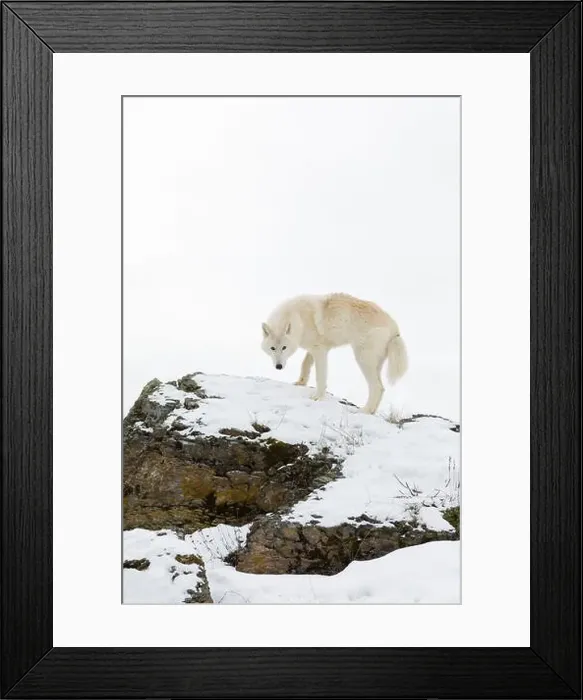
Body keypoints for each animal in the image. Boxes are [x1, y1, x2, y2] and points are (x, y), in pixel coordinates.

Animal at [261, 293, 408, 414]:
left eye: (284, 348)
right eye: (272, 348)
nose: (278, 367)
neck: (298, 318)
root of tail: (395, 328)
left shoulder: (320, 351)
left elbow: (320, 377)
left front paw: (317, 397)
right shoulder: (315, 349)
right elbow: (305, 364)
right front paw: (301, 382)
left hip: (362, 359)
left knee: (377, 387)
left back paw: (364, 411)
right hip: (375, 364)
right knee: (381, 388)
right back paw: (371, 411)